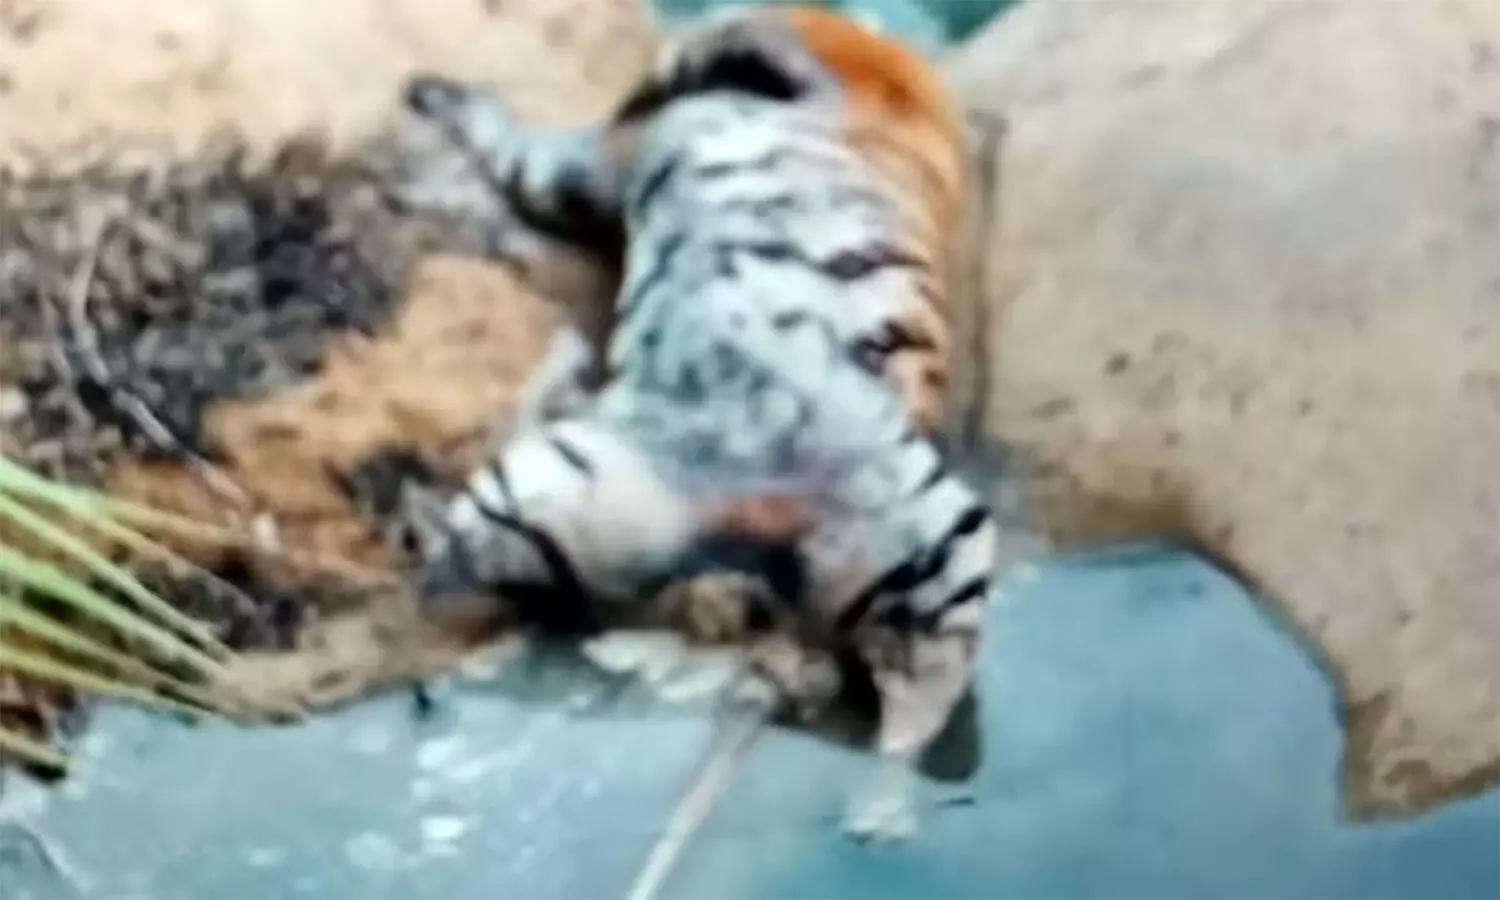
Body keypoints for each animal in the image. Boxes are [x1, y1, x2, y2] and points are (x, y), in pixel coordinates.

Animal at [389, 3, 1002, 841]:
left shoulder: (617, 152)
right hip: (902, 553)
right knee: (924, 690)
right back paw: (881, 806)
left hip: (603, 485)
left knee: (472, 544)